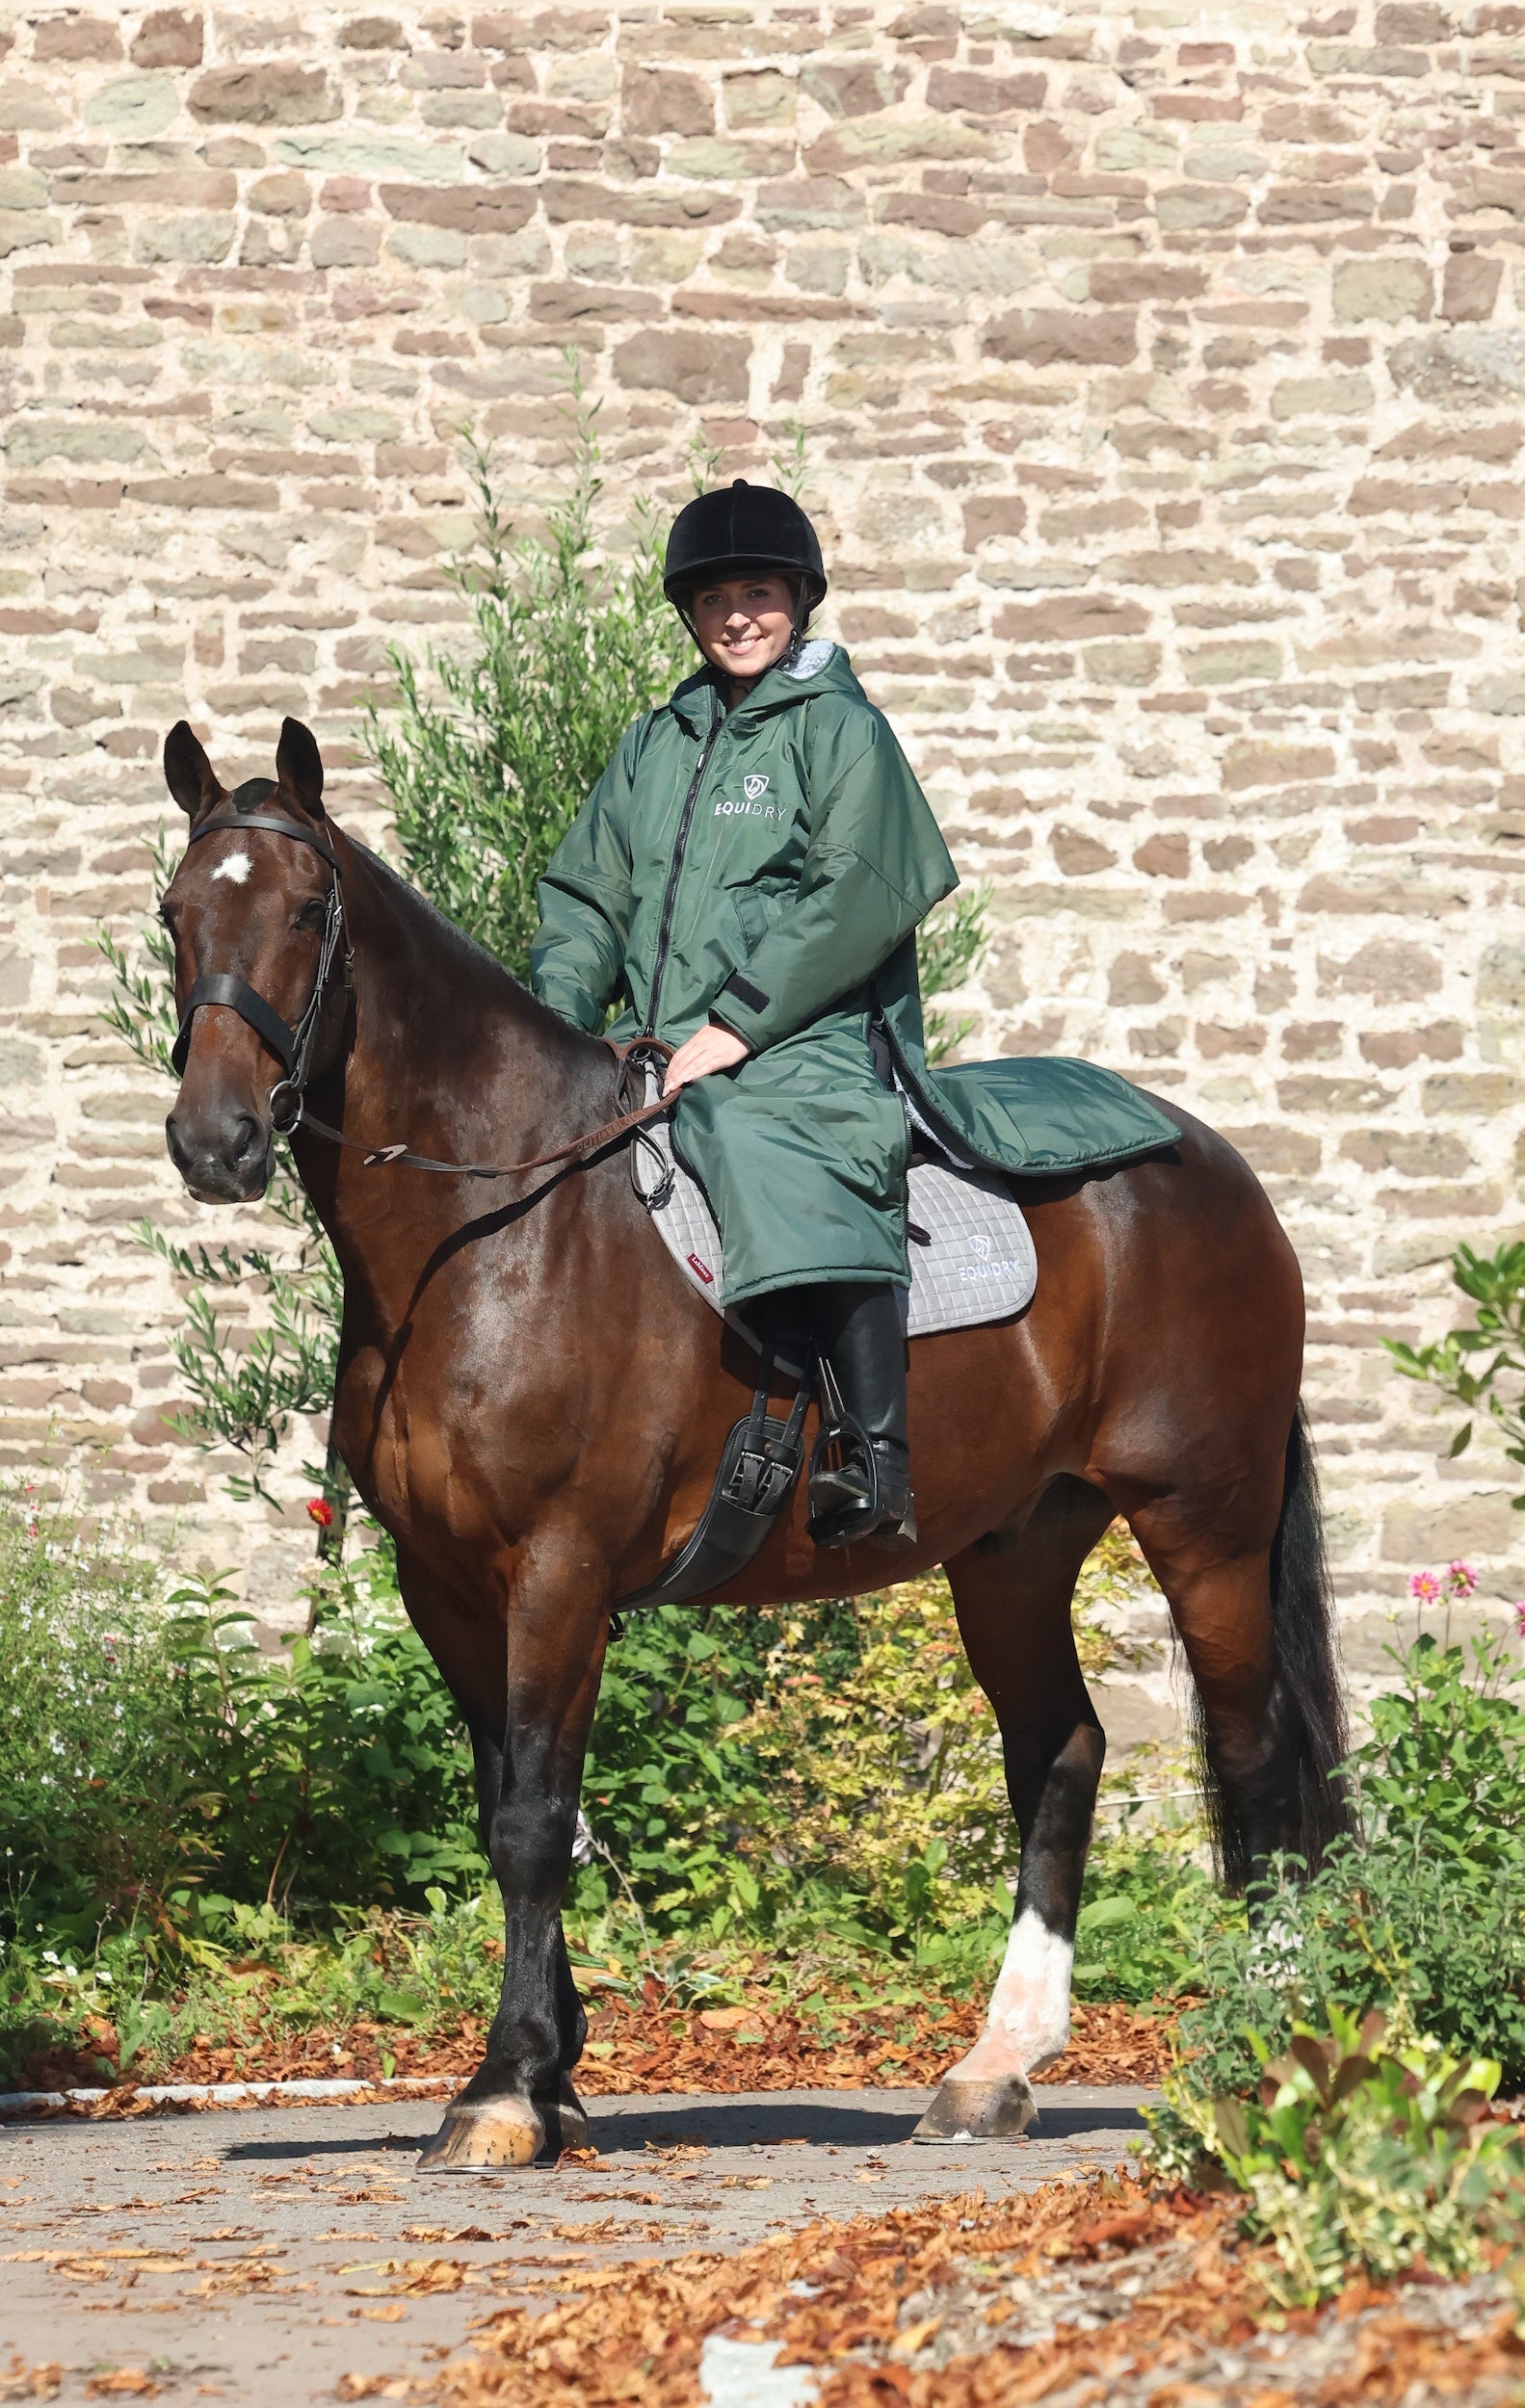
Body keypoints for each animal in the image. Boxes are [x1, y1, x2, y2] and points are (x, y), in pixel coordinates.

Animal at [157, 715, 1348, 2169]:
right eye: (173, 914)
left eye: (305, 911)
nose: (215, 1142)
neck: (501, 1226)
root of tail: (1212, 1167)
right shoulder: (446, 1587)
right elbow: (508, 1809)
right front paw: (551, 2074)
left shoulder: (558, 1573)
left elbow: (535, 1820)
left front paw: (502, 2090)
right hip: (1013, 1553)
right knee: (1058, 1753)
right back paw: (994, 2068)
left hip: (1201, 1526)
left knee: (1256, 1763)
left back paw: (1272, 2052)